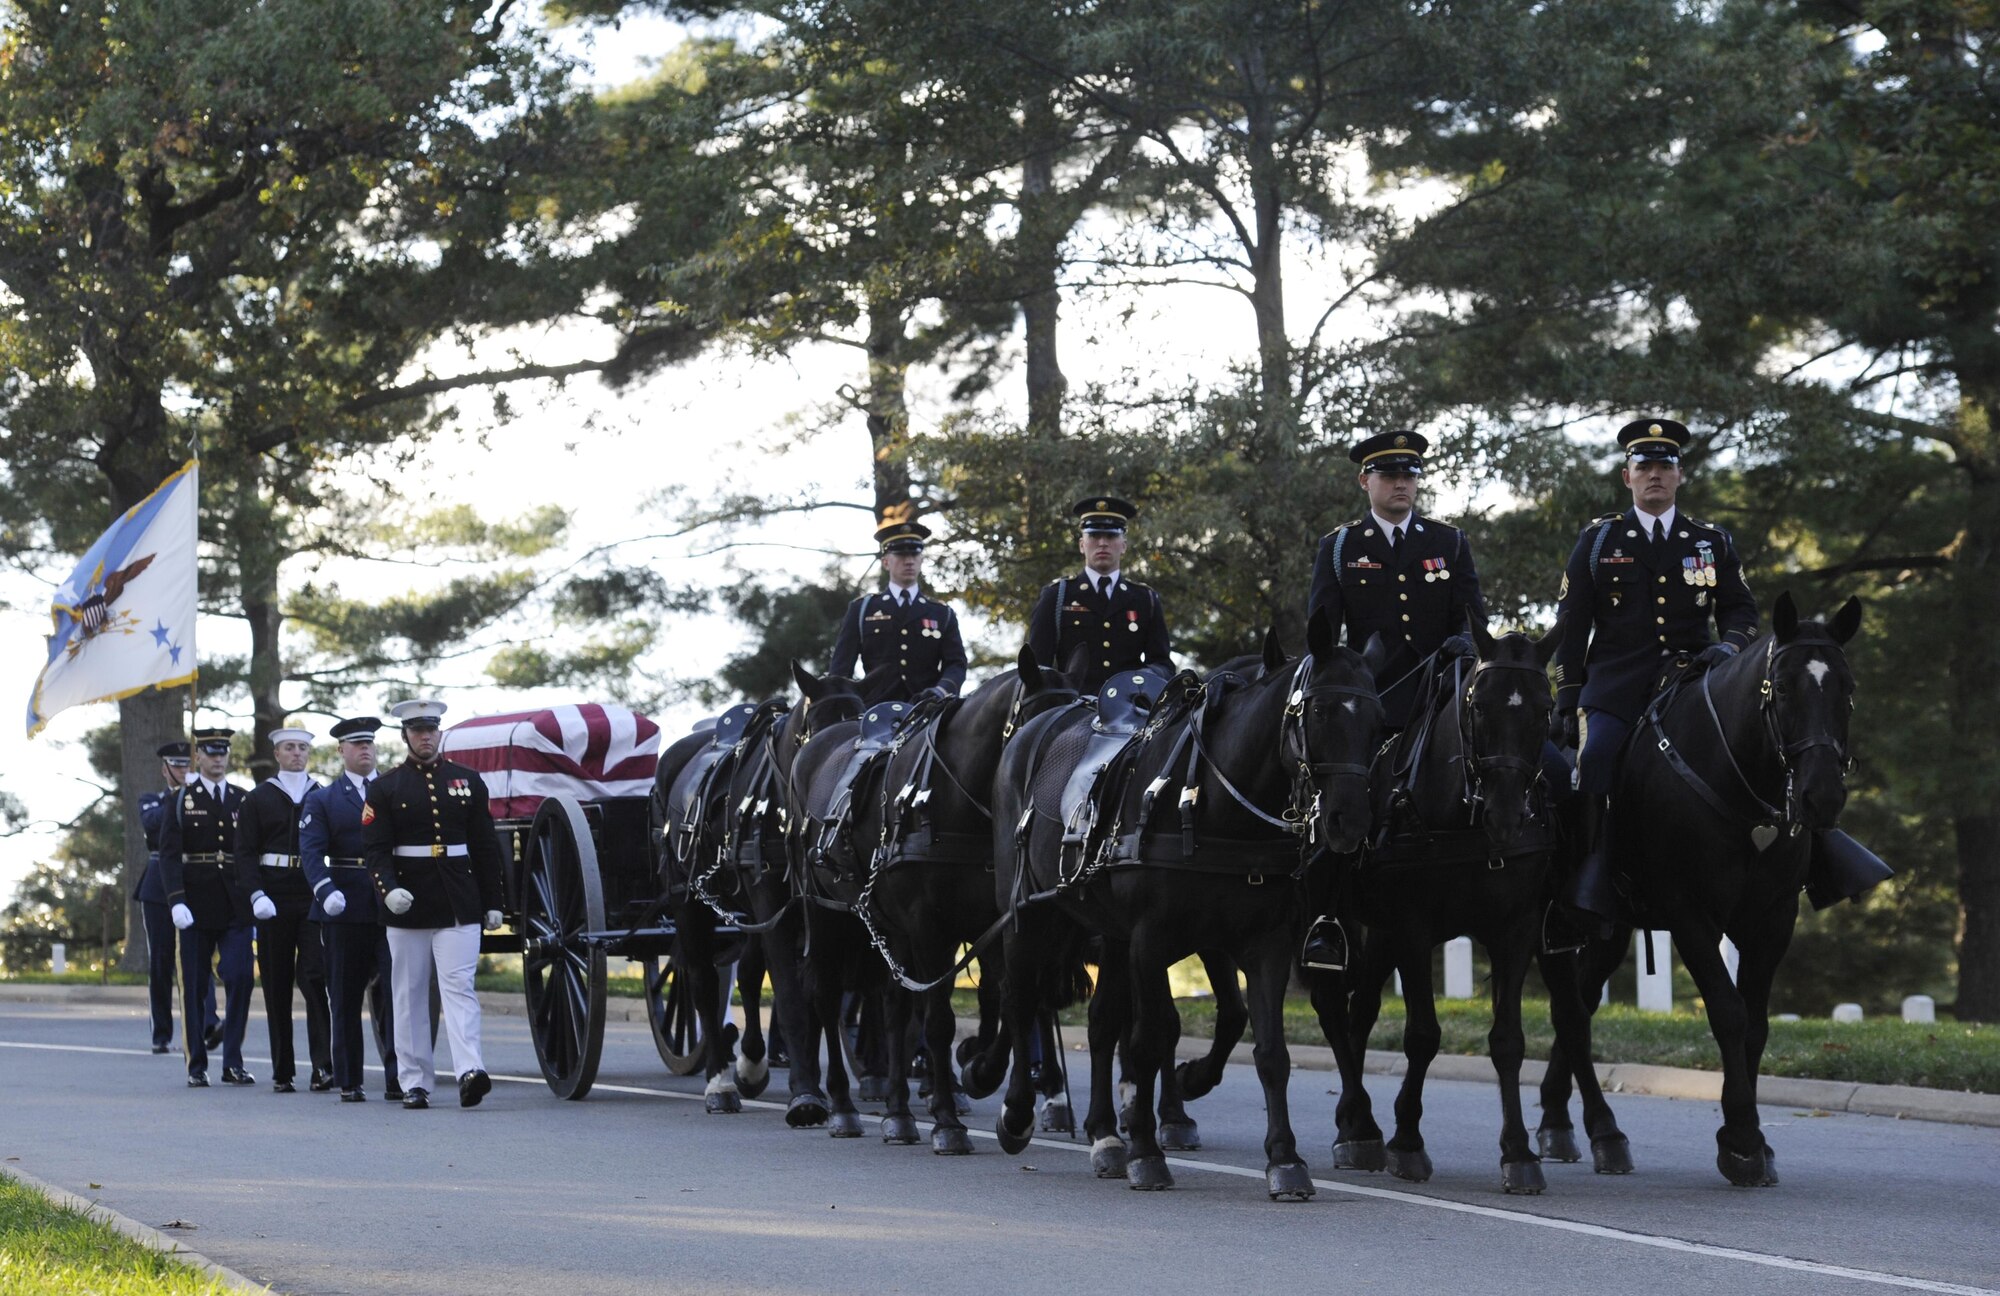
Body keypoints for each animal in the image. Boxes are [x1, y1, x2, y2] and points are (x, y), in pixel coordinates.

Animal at [992, 612, 1384, 1200]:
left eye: (1379, 719)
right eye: (1318, 711)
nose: (1349, 821)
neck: (1218, 807)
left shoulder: (1263, 943)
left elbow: (1270, 1052)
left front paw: (1285, 1158)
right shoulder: (1153, 939)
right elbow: (1151, 1038)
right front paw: (1148, 1151)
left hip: (1110, 936)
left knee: (1099, 1022)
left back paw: (1105, 1135)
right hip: (1028, 914)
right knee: (1020, 999)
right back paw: (1018, 1115)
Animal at [1312, 616, 1560, 1192]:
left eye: (1544, 709)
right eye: (1479, 706)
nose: (1507, 815)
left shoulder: (1515, 932)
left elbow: (1508, 1040)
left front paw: (1518, 1152)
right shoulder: (1412, 929)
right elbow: (1423, 1034)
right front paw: (1407, 1140)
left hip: (1377, 934)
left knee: (1360, 1013)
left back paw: (1353, 1123)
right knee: (1333, 1008)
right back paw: (1360, 1127)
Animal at [1536, 592, 1864, 1192]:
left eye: (1846, 688)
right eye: (1783, 688)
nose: (1822, 796)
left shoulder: (1773, 918)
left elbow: (1755, 1023)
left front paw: (1756, 1139)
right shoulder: (1690, 913)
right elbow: (1728, 1012)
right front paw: (1740, 1140)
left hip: (1608, 929)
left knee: (1582, 1003)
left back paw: (1558, 1121)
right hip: (1548, 920)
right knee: (1570, 1012)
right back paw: (1605, 1132)